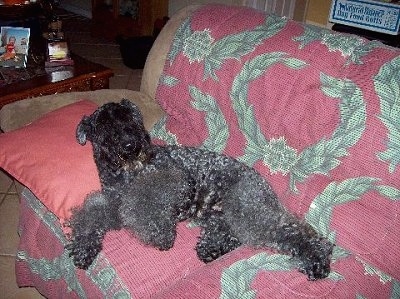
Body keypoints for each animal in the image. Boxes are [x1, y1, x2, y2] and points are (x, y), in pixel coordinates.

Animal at [66, 99, 334, 280]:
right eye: (104, 127)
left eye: (131, 119)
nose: (131, 145)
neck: (127, 175)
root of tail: (266, 186)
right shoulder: (111, 200)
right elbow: (90, 215)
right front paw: (82, 246)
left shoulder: (174, 179)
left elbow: (144, 202)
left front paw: (160, 234)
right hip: (217, 214)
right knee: (232, 233)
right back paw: (212, 247)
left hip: (247, 209)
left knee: (293, 232)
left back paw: (317, 258)